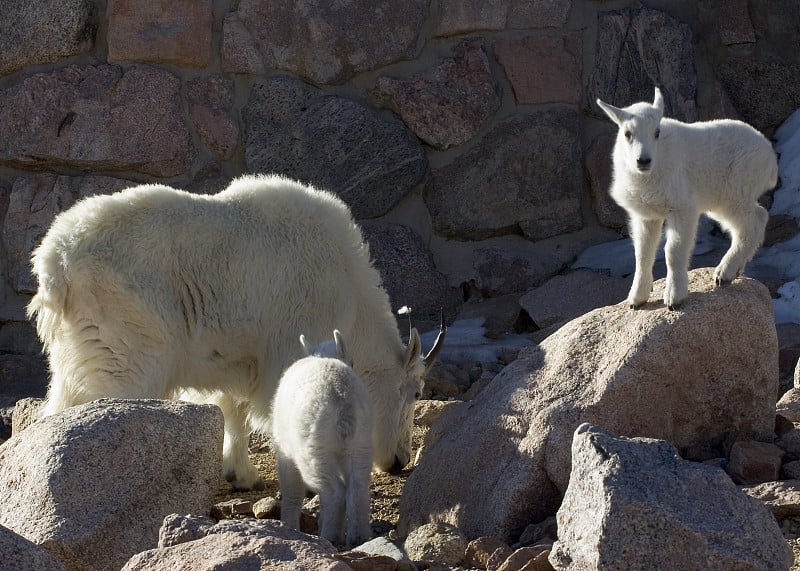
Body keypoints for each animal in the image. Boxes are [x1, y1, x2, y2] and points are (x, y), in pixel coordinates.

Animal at [28, 172, 446, 490]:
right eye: (415, 392)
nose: (398, 461)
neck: (349, 293)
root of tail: (55, 265)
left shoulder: (240, 357)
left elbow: (234, 408)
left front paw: (241, 475)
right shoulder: (291, 346)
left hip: (80, 348)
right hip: (127, 348)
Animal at [272, 332, 376, 548]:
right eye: (352, 361)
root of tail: (342, 401)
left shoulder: (284, 448)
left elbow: (292, 490)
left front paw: (289, 527)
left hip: (313, 445)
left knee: (332, 490)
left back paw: (330, 535)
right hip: (361, 440)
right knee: (358, 486)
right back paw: (358, 536)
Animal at [600, 87, 776, 310]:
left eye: (657, 132)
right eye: (627, 134)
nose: (643, 161)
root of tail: (770, 158)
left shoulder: (682, 208)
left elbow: (673, 251)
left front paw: (674, 297)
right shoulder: (647, 215)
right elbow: (642, 253)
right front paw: (636, 299)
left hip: (736, 192)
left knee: (750, 225)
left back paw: (724, 273)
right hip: (724, 199)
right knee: (758, 217)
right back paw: (735, 269)